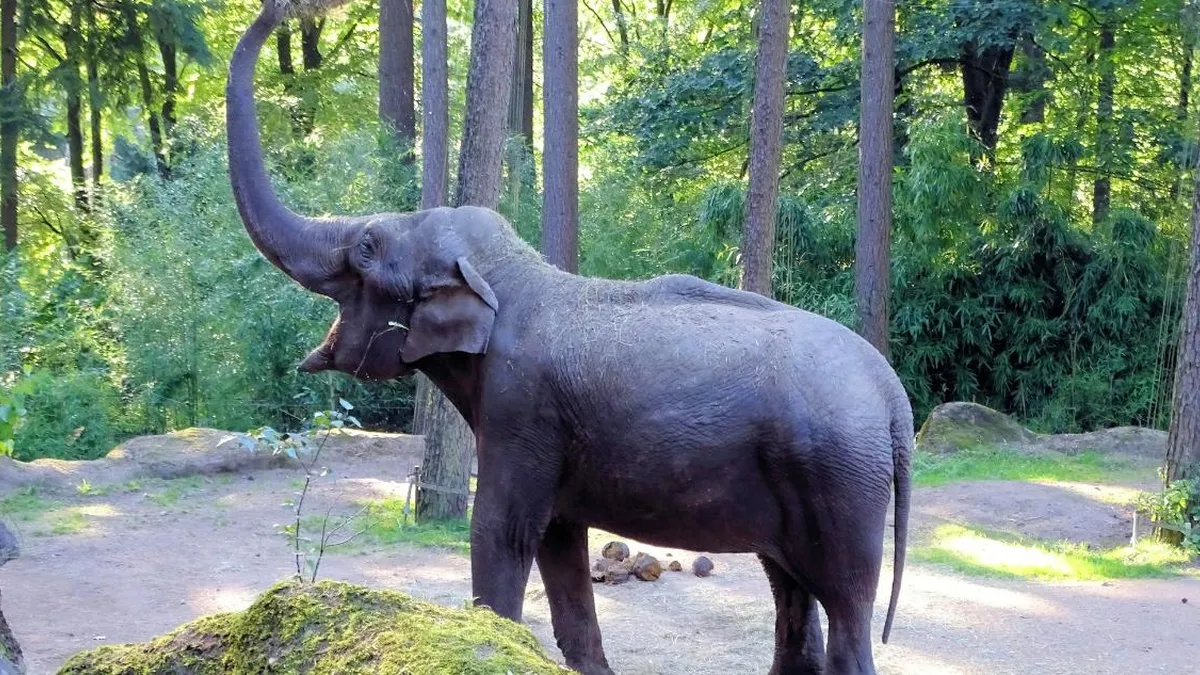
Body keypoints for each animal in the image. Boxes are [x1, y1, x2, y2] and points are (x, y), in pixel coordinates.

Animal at [226, 3, 911, 674]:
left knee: (845, 604)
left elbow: (501, 531)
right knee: (790, 584)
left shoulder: (521, 409)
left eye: (367, 246)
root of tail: (894, 397)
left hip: (839, 480)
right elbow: (558, 538)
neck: (510, 274)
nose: (288, 9)